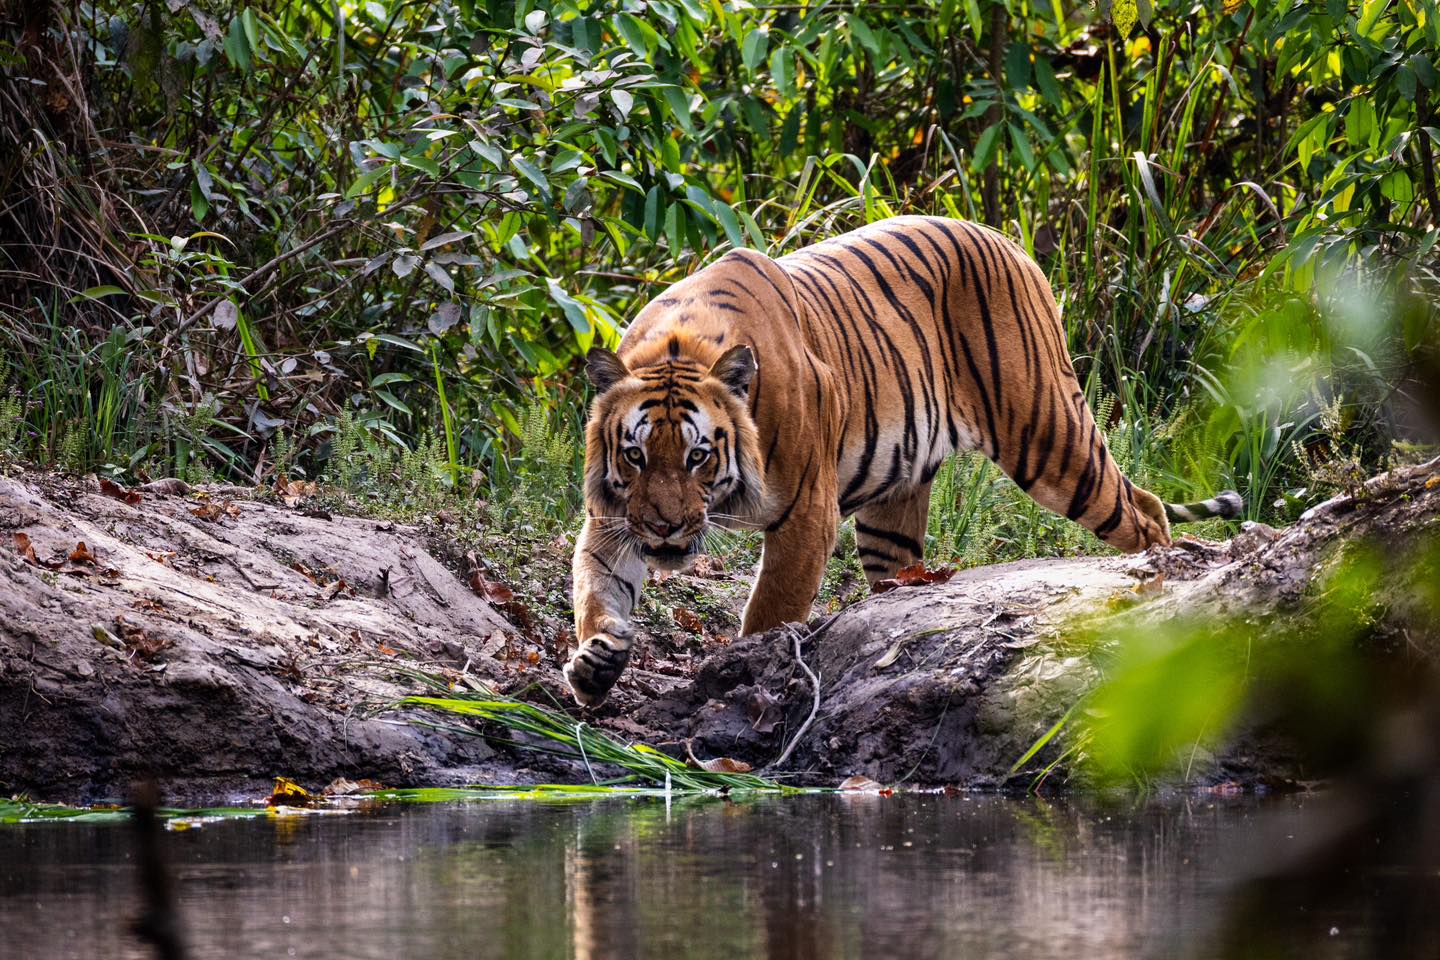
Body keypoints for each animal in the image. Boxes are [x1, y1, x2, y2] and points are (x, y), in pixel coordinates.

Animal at [564, 215, 1241, 707]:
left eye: (699, 456)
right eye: (636, 454)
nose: (665, 528)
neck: (681, 344)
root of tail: (1011, 244)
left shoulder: (806, 516)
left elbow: (768, 613)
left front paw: (735, 675)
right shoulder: (612, 517)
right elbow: (597, 587)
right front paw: (596, 662)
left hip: (1050, 437)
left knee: (1145, 512)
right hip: (894, 509)